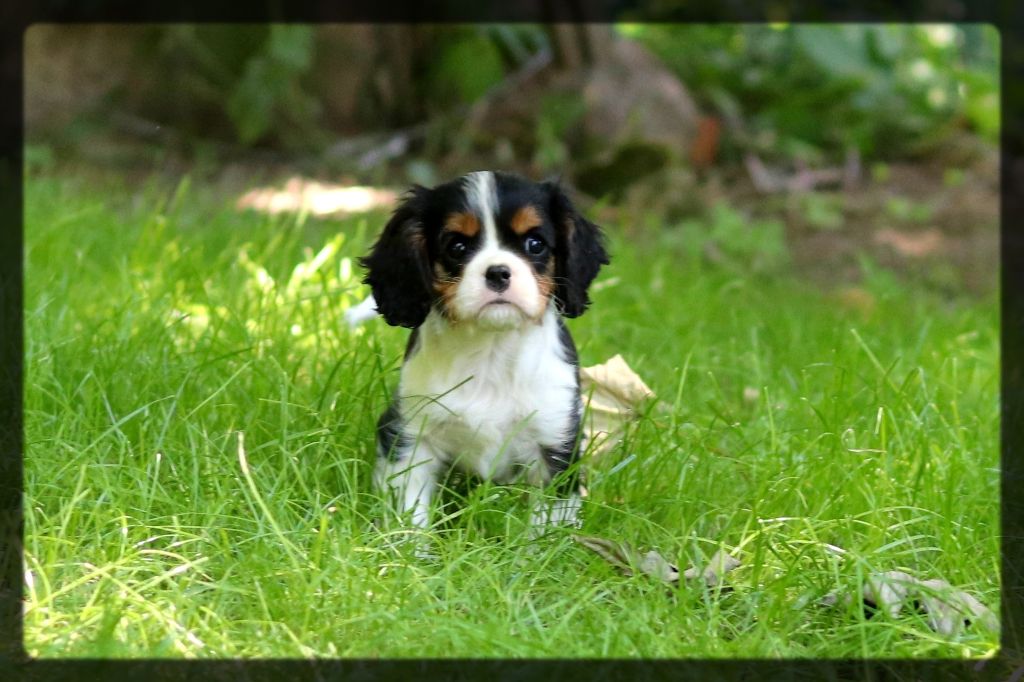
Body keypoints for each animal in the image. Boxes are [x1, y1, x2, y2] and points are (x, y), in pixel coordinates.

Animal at [358, 171, 609, 536]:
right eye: (457, 247)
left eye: (535, 244)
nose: (498, 272)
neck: (491, 348)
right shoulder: (411, 433)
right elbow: (409, 510)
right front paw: (409, 548)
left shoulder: (555, 441)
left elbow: (547, 520)